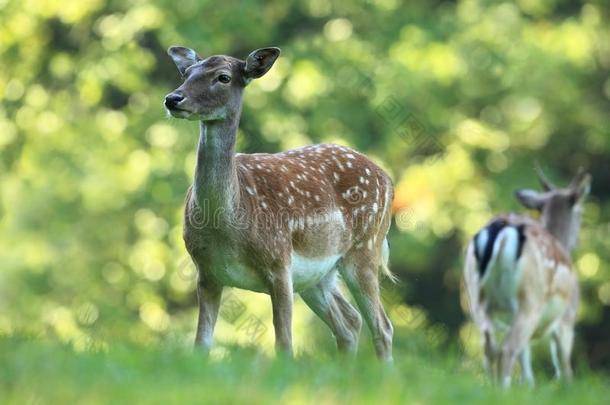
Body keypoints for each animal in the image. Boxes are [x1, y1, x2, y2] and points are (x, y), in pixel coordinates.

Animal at [164, 46, 396, 360]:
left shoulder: (279, 261)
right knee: (349, 322)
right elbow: (202, 343)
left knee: (382, 326)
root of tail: (387, 179)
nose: (173, 99)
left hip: (365, 248)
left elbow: (284, 343)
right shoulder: (207, 272)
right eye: (186, 73)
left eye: (223, 77)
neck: (230, 224)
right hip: (318, 275)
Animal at [460, 166, 588, 386]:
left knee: (489, 344)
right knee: (507, 349)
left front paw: (527, 386)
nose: (578, 240)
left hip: (477, 297)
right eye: (580, 212)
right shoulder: (567, 318)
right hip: (530, 300)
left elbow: (526, 362)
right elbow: (564, 368)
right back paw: (501, 388)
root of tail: (501, 231)